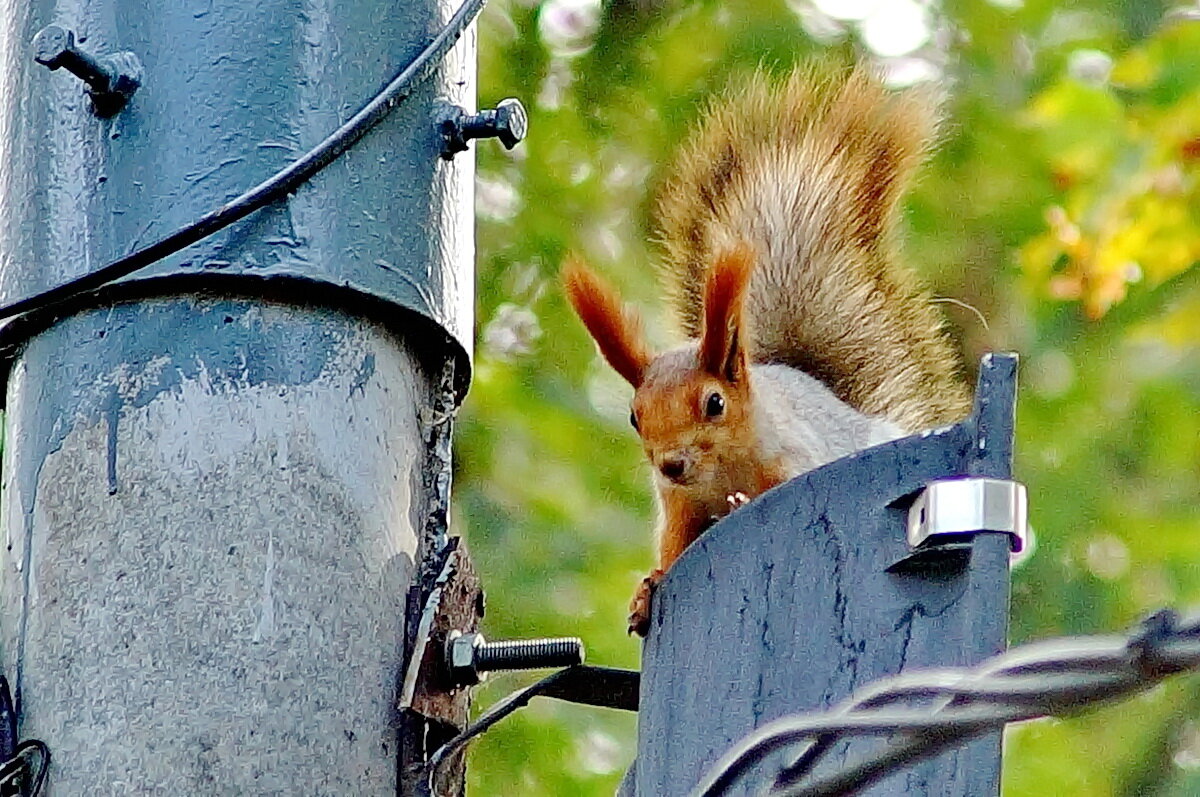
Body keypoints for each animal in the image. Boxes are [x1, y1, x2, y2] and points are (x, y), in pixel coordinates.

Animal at [566, 66, 969, 633]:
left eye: (714, 402)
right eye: (634, 417)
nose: (670, 464)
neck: (720, 471)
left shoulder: (796, 462)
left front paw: (739, 502)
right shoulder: (679, 506)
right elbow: (672, 549)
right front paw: (647, 589)